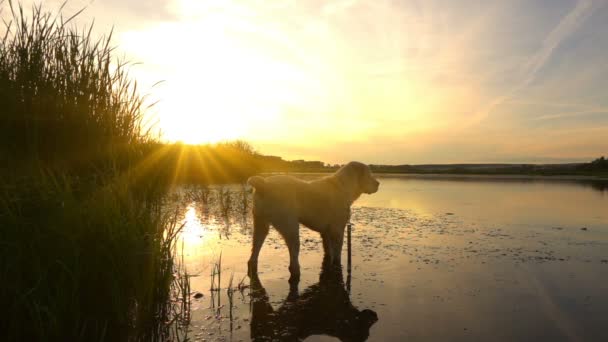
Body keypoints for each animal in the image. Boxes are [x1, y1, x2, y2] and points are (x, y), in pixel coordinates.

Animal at [245, 162, 378, 284]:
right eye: (369, 175)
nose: (378, 184)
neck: (342, 187)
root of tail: (264, 184)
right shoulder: (338, 231)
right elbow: (337, 254)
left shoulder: (326, 233)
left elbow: (328, 251)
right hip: (290, 228)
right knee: (293, 259)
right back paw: (297, 271)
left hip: (260, 225)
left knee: (254, 254)